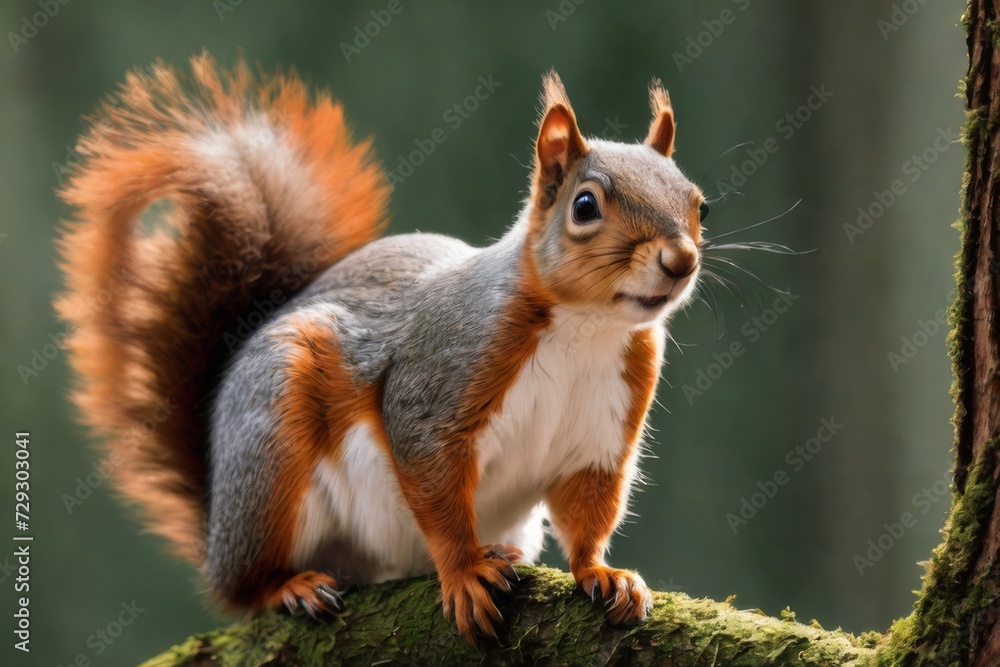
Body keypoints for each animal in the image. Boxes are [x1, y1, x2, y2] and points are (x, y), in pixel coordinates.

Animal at [56, 54, 704, 644]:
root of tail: (219, 531)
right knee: (246, 587)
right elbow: (430, 474)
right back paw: (289, 586)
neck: (585, 327)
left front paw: (602, 572)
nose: (681, 260)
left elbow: (590, 508)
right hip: (270, 451)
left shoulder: (602, 430)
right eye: (585, 206)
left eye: (698, 203)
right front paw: (464, 572)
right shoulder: (445, 369)